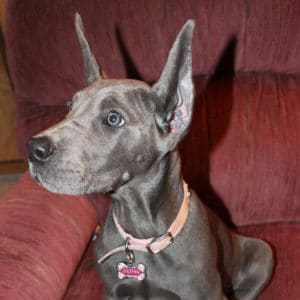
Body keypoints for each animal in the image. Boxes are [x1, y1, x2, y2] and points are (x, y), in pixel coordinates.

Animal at [27, 12, 274, 298]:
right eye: (69, 107)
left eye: (113, 118)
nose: (34, 149)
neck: (141, 237)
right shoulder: (113, 291)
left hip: (263, 253)